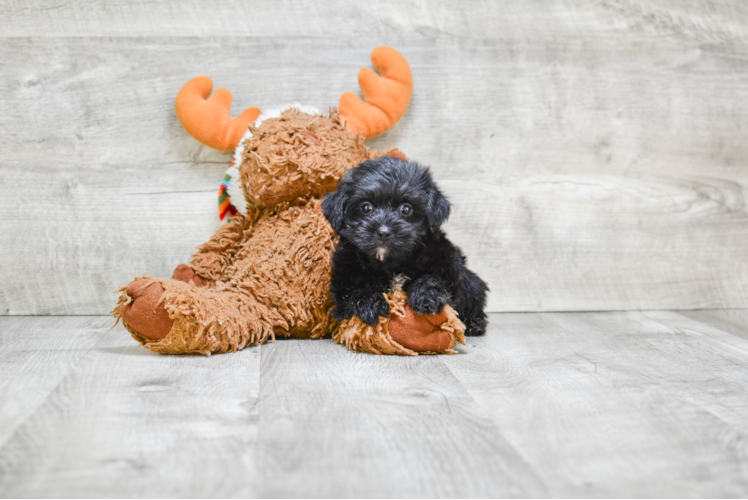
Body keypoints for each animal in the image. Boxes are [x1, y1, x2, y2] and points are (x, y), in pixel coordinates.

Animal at [322, 156, 488, 336]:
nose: (384, 232)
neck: (390, 262)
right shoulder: (345, 271)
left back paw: (472, 323)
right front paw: (368, 302)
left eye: (406, 209)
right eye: (365, 207)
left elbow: (435, 278)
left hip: (472, 283)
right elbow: (354, 289)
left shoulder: (447, 260)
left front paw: (426, 296)